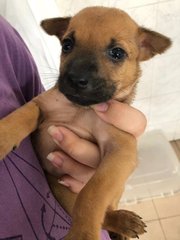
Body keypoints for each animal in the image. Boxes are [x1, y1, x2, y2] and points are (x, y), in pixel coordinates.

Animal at [0, 6, 171, 239]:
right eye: (67, 44)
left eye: (117, 53)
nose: (75, 79)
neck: (82, 111)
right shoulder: (40, 105)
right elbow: (20, 116)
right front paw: (3, 136)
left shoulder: (121, 151)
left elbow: (92, 193)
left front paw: (83, 232)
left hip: (115, 188)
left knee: (107, 209)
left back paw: (123, 224)